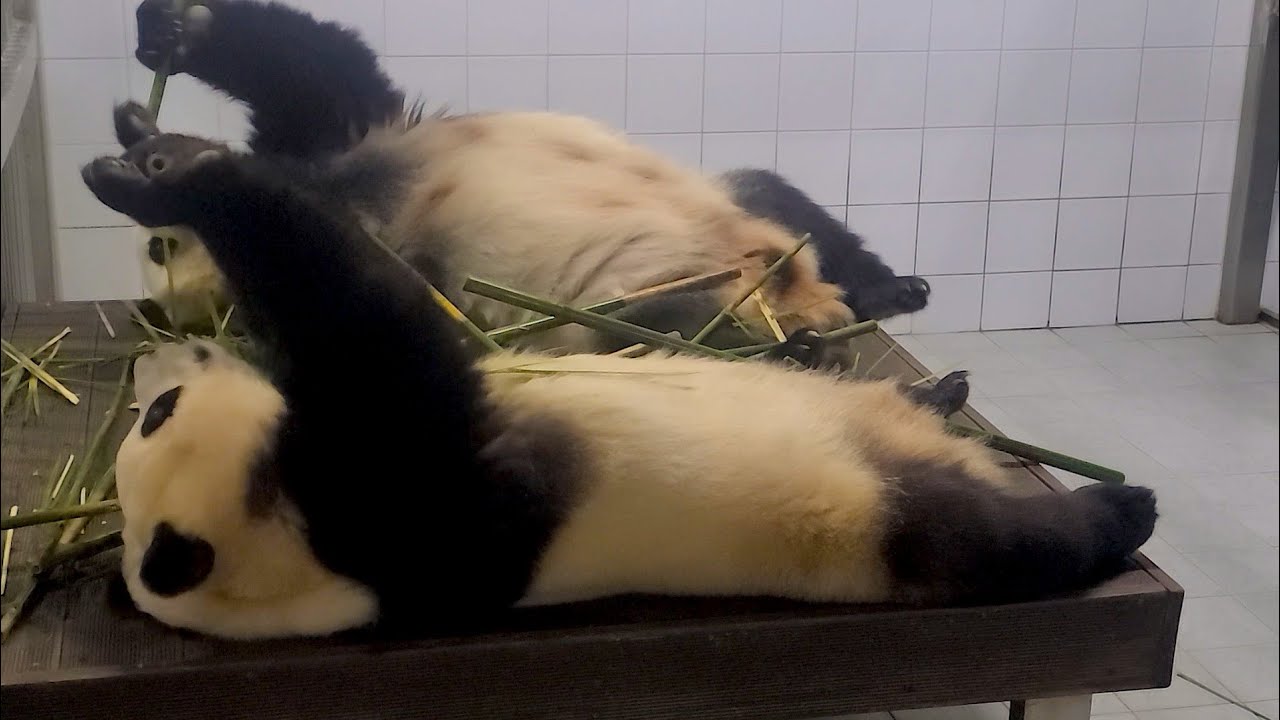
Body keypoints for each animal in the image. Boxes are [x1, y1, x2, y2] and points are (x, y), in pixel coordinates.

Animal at [81, 146, 1158, 641]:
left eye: (153, 418)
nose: (156, 372)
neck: (322, 580)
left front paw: (146, 173)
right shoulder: (405, 495)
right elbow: (371, 320)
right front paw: (188, 176)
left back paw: (933, 387)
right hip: (888, 519)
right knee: (1005, 537)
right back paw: (1121, 506)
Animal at [114, 0, 930, 352]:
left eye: (159, 250)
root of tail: (803, 300)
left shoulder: (356, 136)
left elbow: (316, 67)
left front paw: (171, 38)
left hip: (734, 208)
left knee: (794, 212)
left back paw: (888, 292)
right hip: (641, 304)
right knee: (676, 332)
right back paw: (808, 342)